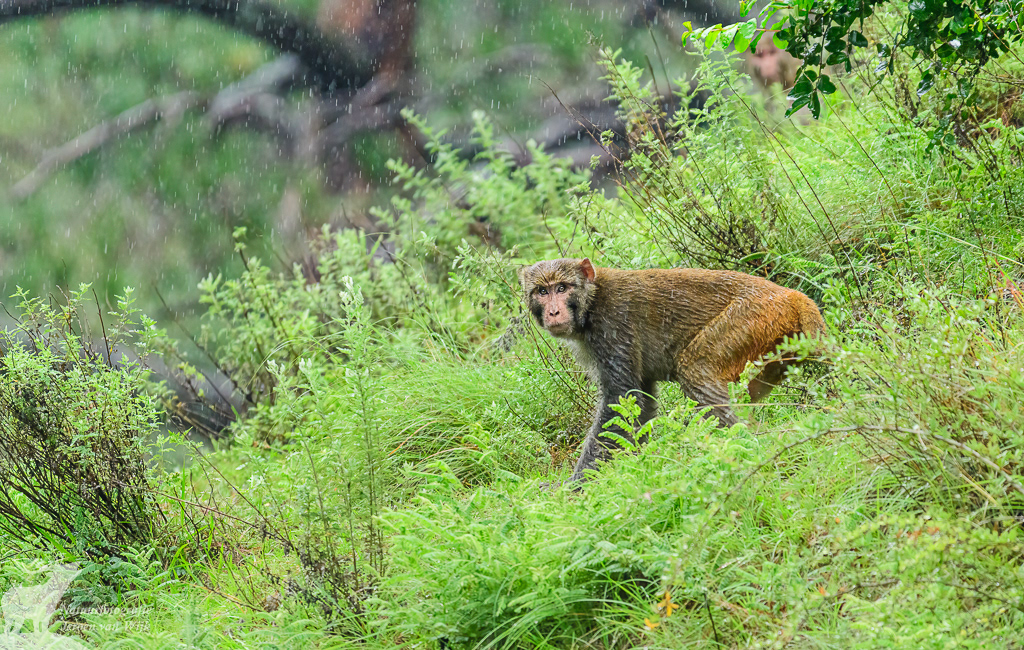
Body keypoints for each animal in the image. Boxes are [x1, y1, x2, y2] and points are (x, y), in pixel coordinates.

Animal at [519, 258, 826, 484]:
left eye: (562, 288)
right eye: (542, 291)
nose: (554, 312)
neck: (592, 300)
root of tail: (791, 295)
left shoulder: (612, 328)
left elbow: (620, 399)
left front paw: (576, 484)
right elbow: (640, 401)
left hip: (751, 319)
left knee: (694, 370)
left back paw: (739, 444)